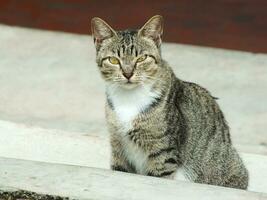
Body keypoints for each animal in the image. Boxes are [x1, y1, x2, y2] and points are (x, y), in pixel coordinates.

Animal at [91, 15, 249, 189]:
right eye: (113, 60)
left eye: (142, 58)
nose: (127, 73)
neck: (128, 99)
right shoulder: (118, 147)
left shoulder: (163, 153)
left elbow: (158, 177)